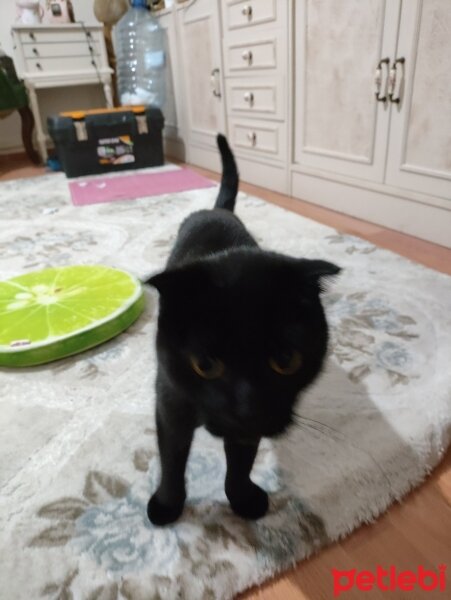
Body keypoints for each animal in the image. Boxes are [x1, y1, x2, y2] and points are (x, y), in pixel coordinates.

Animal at [147, 135, 340, 524]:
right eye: (205, 365)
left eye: (286, 360)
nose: (248, 407)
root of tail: (217, 210)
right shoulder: (170, 403)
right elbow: (172, 461)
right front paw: (167, 505)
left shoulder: (251, 429)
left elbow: (240, 463)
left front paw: (242, 500)